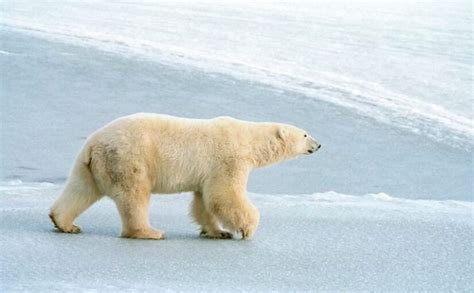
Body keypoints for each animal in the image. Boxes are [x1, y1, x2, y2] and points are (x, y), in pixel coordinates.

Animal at [49, 113, 322, 238]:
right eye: (305, 134)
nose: (319, 145)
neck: (247, 139)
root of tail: (93, 144)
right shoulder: (227, 160)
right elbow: (225, 195)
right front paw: (247, 229)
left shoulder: (207, 173)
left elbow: (204, 202)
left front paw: (217, 232)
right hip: (130, 159)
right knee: (134, 196)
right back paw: (150, 232)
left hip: (92, 165)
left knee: (81, 190)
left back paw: (65, 223)